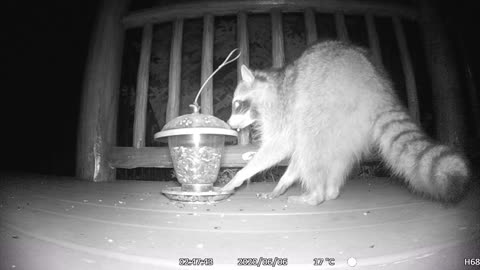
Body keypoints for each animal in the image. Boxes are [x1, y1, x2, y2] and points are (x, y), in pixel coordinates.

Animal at [223, 40, 470, 205]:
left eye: (237, 104)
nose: (230, 124)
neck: (272, 85)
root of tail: (378, 88)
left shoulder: (282, 111)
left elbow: (279, 147)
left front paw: (239, 176)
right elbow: (292, 153)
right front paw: (282, 184)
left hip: (327, 105)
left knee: (309, 142)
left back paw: (316, 195)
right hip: (349, 124)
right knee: (335, 154)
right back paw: (330, 190)